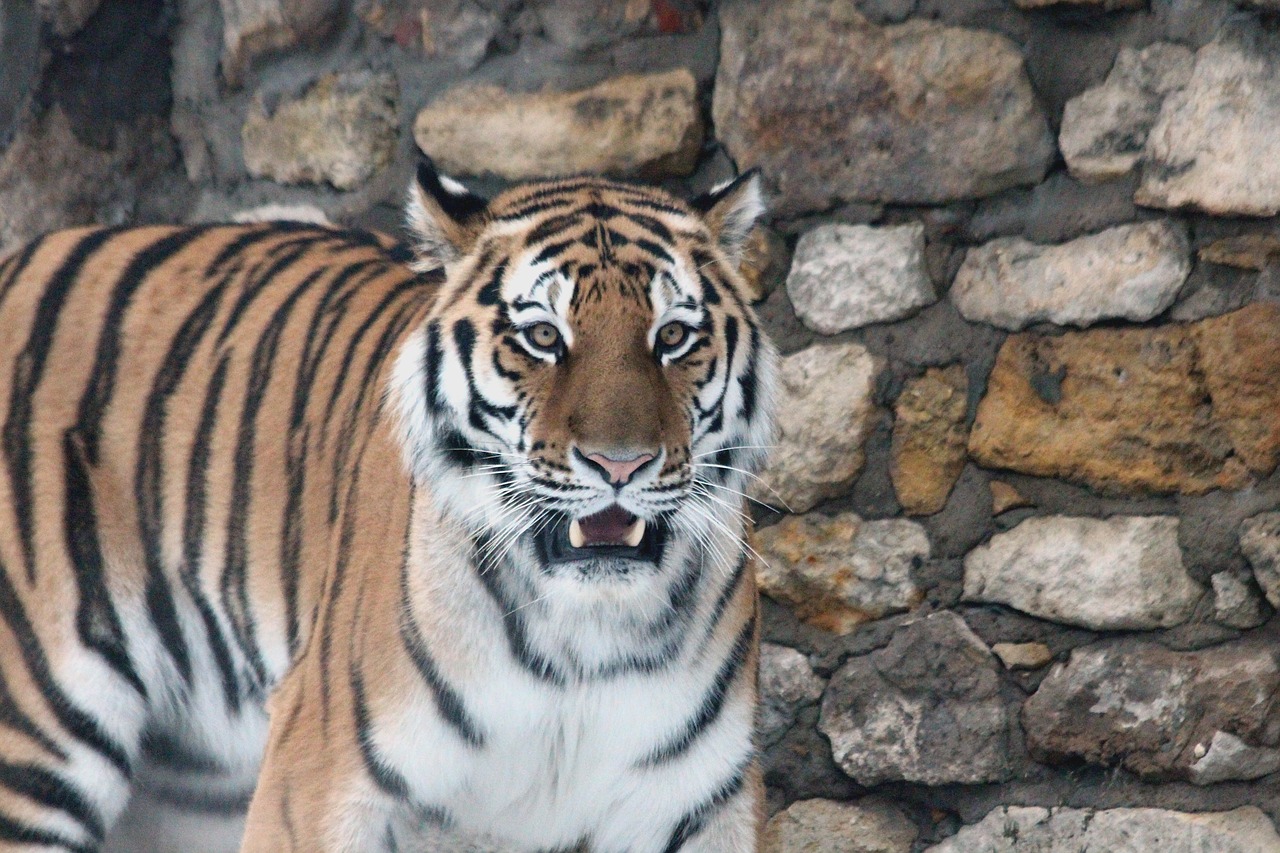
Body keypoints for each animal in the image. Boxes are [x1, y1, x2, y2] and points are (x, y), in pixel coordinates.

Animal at [0, 157, 773, 845]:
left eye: (672, 336)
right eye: (543, 336)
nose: (622, 463)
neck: (584, 639)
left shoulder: (701, 803)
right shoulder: (317, 781)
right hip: (35, 740)